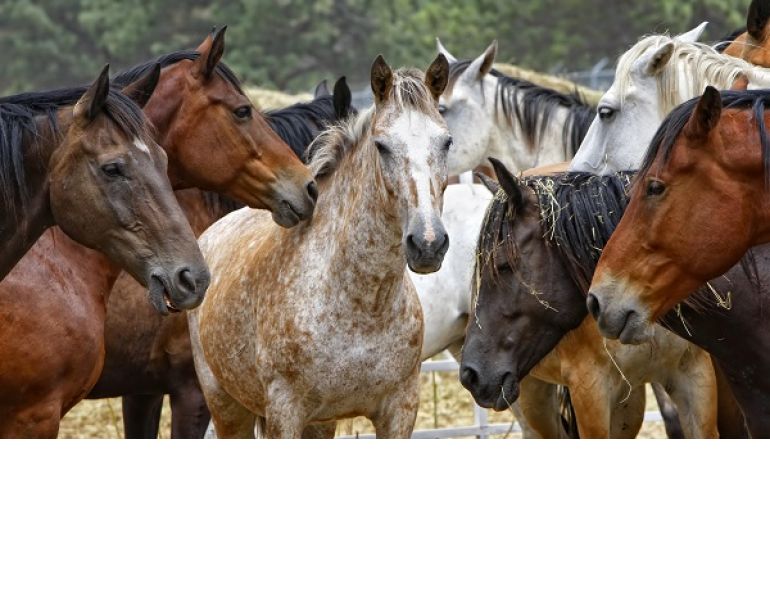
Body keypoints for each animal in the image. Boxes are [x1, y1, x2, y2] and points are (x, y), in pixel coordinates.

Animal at [189, 56, 451, 438]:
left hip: (319, 424)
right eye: (382, 145)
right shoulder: (285, 412)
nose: (428, 243)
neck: (361, 305)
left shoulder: (399, 410)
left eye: (446, 142)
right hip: (227, 408)